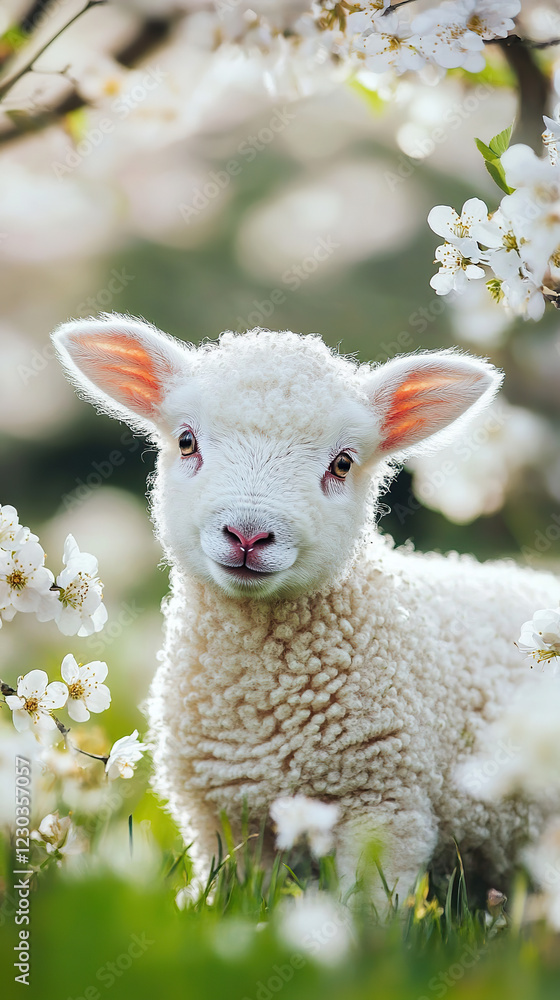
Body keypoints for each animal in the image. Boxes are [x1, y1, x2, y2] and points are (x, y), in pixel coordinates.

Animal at [52, 314, 560, 903]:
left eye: (342, 464)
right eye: (186, 441)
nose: (248, 535)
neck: (264, 709)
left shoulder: (386, 802)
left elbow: (366, 903)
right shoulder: (219, 813)